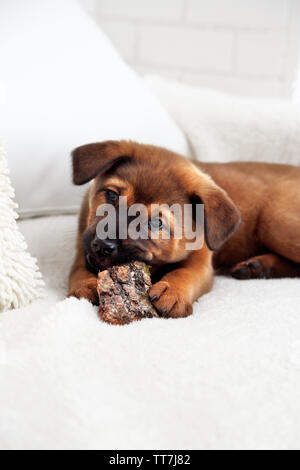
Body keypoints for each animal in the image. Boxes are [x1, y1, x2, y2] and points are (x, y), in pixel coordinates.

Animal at [68, 140, 300, 316]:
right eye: (112, 195)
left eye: (156, 223)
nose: (102, 246)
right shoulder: (83, 244)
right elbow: (79, 269)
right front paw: (85, 285)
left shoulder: (202, 262)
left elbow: (185, 273)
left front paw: (173, 292)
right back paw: (259, 267)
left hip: (276, 221)